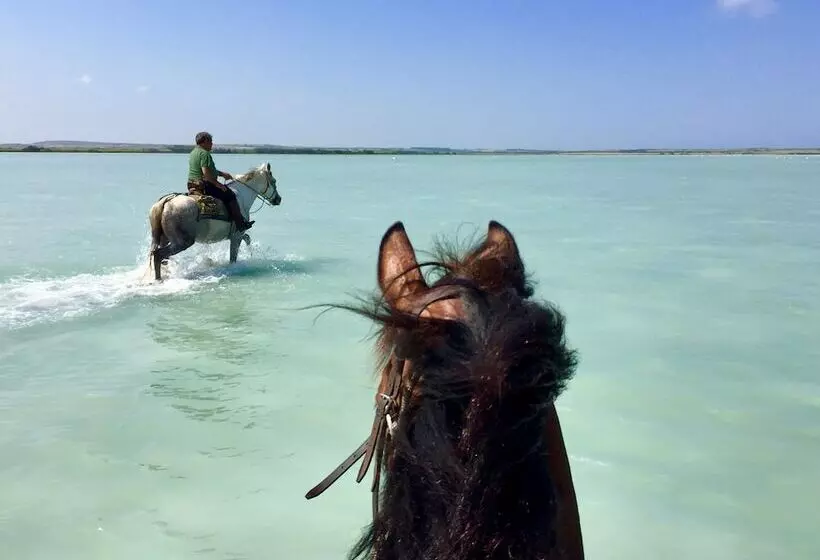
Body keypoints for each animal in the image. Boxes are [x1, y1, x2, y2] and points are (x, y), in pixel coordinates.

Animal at [146, 162, 282, 282]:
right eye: (274, 181)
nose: (278, 199)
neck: (242, 197)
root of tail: (166, 201)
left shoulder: (238, 234)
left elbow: (247, 238)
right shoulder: (237, 235)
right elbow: (233, 257)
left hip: (164, 239)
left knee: (161, 257)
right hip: (182, 242)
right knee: (158, 255)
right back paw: (158, 279)